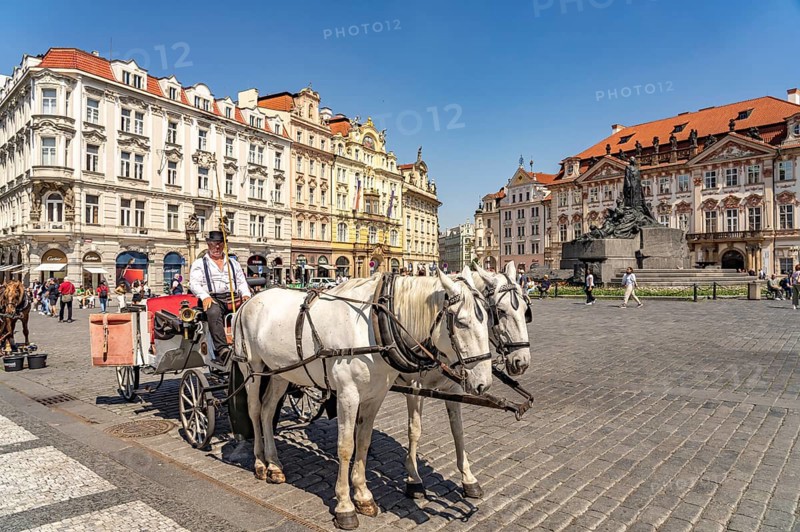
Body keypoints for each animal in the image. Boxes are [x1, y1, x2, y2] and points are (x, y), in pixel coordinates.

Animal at [234, 265, 493, 529]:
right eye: (461, 323)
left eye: (488, 319)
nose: (484, 383)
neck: (373, 326)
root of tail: (249, 300)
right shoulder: (348, 394)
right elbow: (346, 446)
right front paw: (345, 506)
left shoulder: (375, 396)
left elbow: (364, 441)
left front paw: (362, 495)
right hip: (252, 368)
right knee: (255, 410)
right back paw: (259, 462)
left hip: (280, 372)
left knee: (268, 411)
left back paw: (274, 464)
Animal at [401, 260, 533, 499]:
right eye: (500, 311)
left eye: (526, 311)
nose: (522, 361)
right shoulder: (414, 388)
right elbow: (414, 430)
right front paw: (413, 478)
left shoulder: (454, 388)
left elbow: (458, 429)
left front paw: (468, 478)